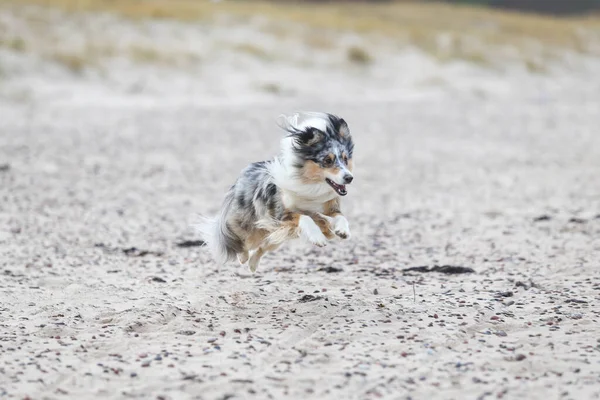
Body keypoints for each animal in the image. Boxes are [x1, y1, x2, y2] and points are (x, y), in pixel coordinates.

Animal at [197, 111, 356, 272]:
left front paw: (342, 231)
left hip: (274, 234)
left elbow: (340, 217)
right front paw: (318, 238)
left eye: (345, 159)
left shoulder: (328, 207)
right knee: (242, 240)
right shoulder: (279, 214)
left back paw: (252, 264)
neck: (311, 184)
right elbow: (304, 217)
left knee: (264, 246)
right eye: (328, 160)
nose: (349, 178)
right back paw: (243, 257)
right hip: (249, 225)